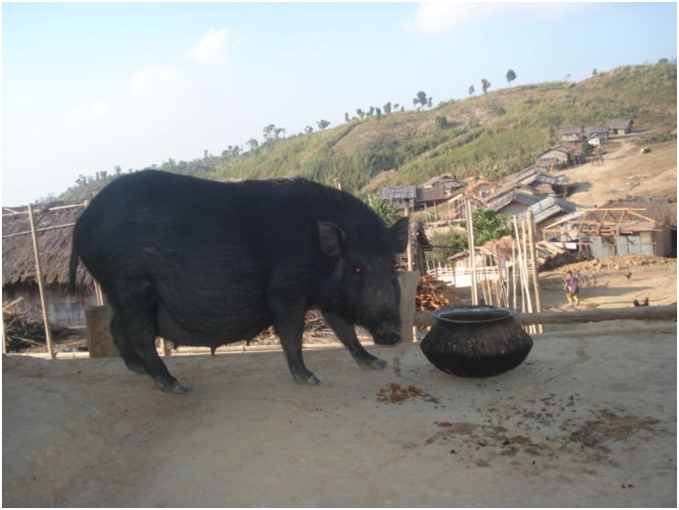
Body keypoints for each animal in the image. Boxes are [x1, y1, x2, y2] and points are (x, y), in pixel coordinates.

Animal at [71, 169, 406, 392]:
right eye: (357, 268)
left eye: (392, 268)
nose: (391, 334)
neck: (319, 254)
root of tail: (81, 222)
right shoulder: (286, 289)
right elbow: (292, 333)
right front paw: (310, 379)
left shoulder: (328, 296)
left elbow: (345, 332)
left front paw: (376, 363)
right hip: (131, 282)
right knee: (139, 335)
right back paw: (176, 385)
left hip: (119, 290)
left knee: (116, 326)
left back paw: (139, 371)